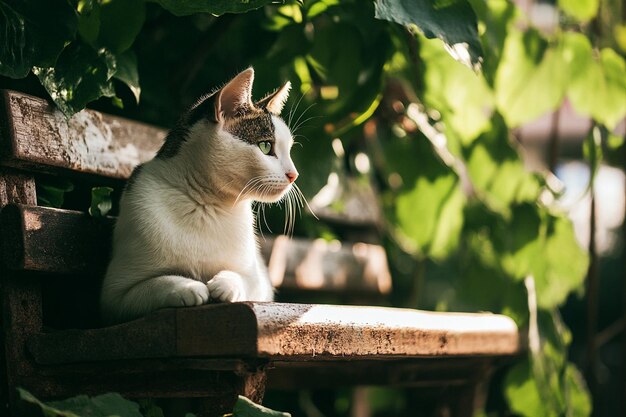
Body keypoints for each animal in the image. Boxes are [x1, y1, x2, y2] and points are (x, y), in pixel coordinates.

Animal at [99, 66, 298, 324]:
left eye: (289, 150)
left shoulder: (259, 283)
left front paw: (225, 284)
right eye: (266, 146)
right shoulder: (115, 296)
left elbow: (242, 278)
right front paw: (188, 287)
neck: (206, 203)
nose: (294, 175)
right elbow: (154, 284)